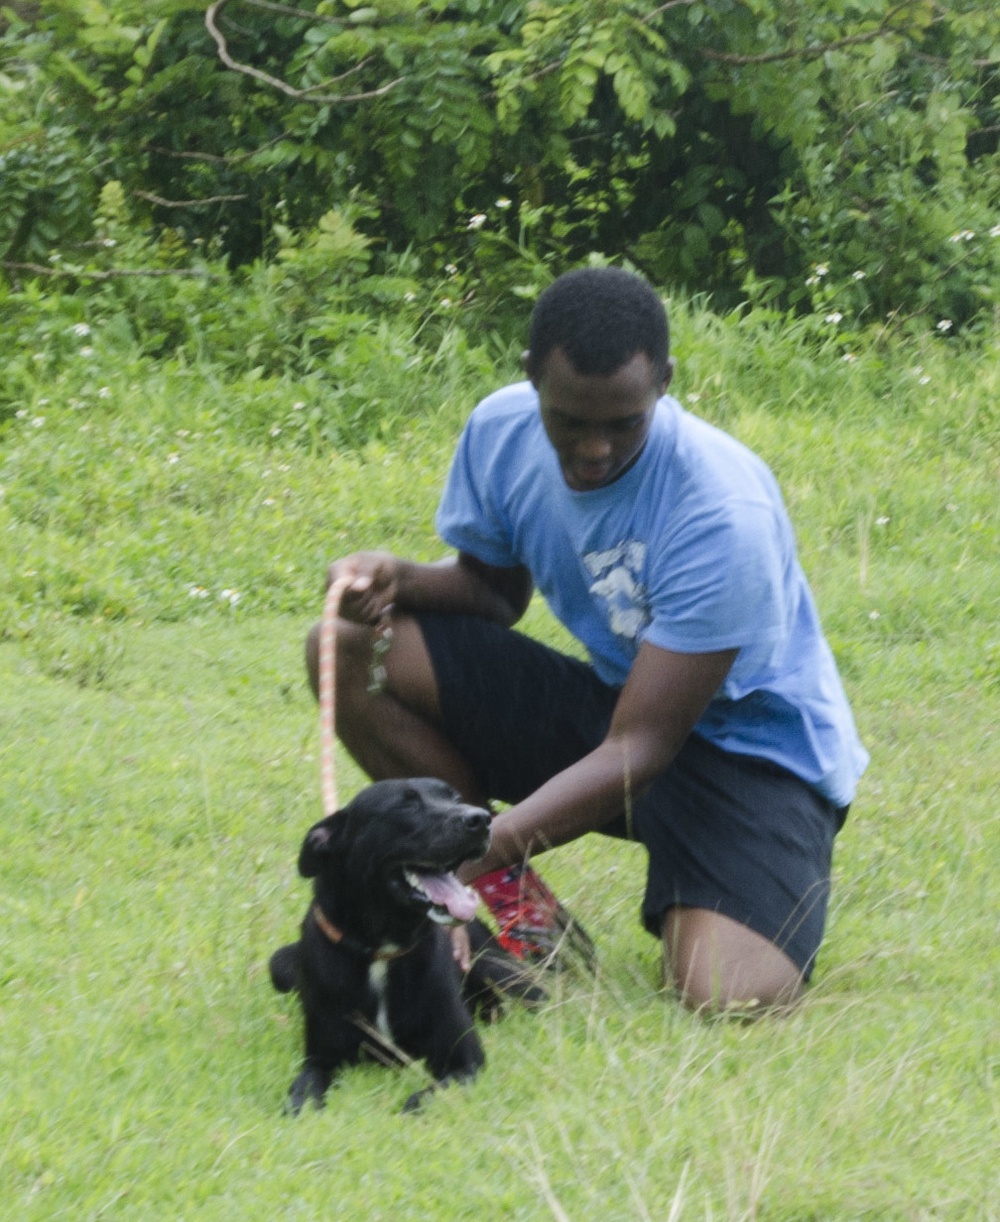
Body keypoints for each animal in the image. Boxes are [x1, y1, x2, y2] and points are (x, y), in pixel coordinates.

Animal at [268, 777, 542, 1114]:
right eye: (406, 805)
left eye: (455, 798)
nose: (480, 819)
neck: (382, 948)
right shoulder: (321, 1056)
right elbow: (304, 1090)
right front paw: (301, 1108)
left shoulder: (465, 1061)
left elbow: (426, 1097)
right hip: (280, 963)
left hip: (504, 972)